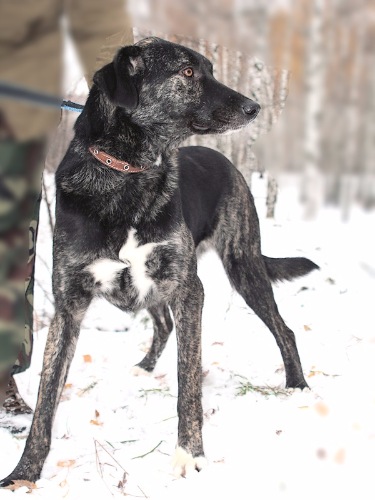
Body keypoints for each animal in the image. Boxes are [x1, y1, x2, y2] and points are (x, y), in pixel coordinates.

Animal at [0, 37, 318, 482]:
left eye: (210, 69)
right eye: (187, 71)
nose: (253, 107)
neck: (128, 174)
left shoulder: (188, 289)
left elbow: (189, 381)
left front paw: (190, 454)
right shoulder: (69, 304)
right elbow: (46, 398)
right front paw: (24, 473)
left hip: (242, 266)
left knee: (283, 329)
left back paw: (298, 386)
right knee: (163, 323)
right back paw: (145, 367)